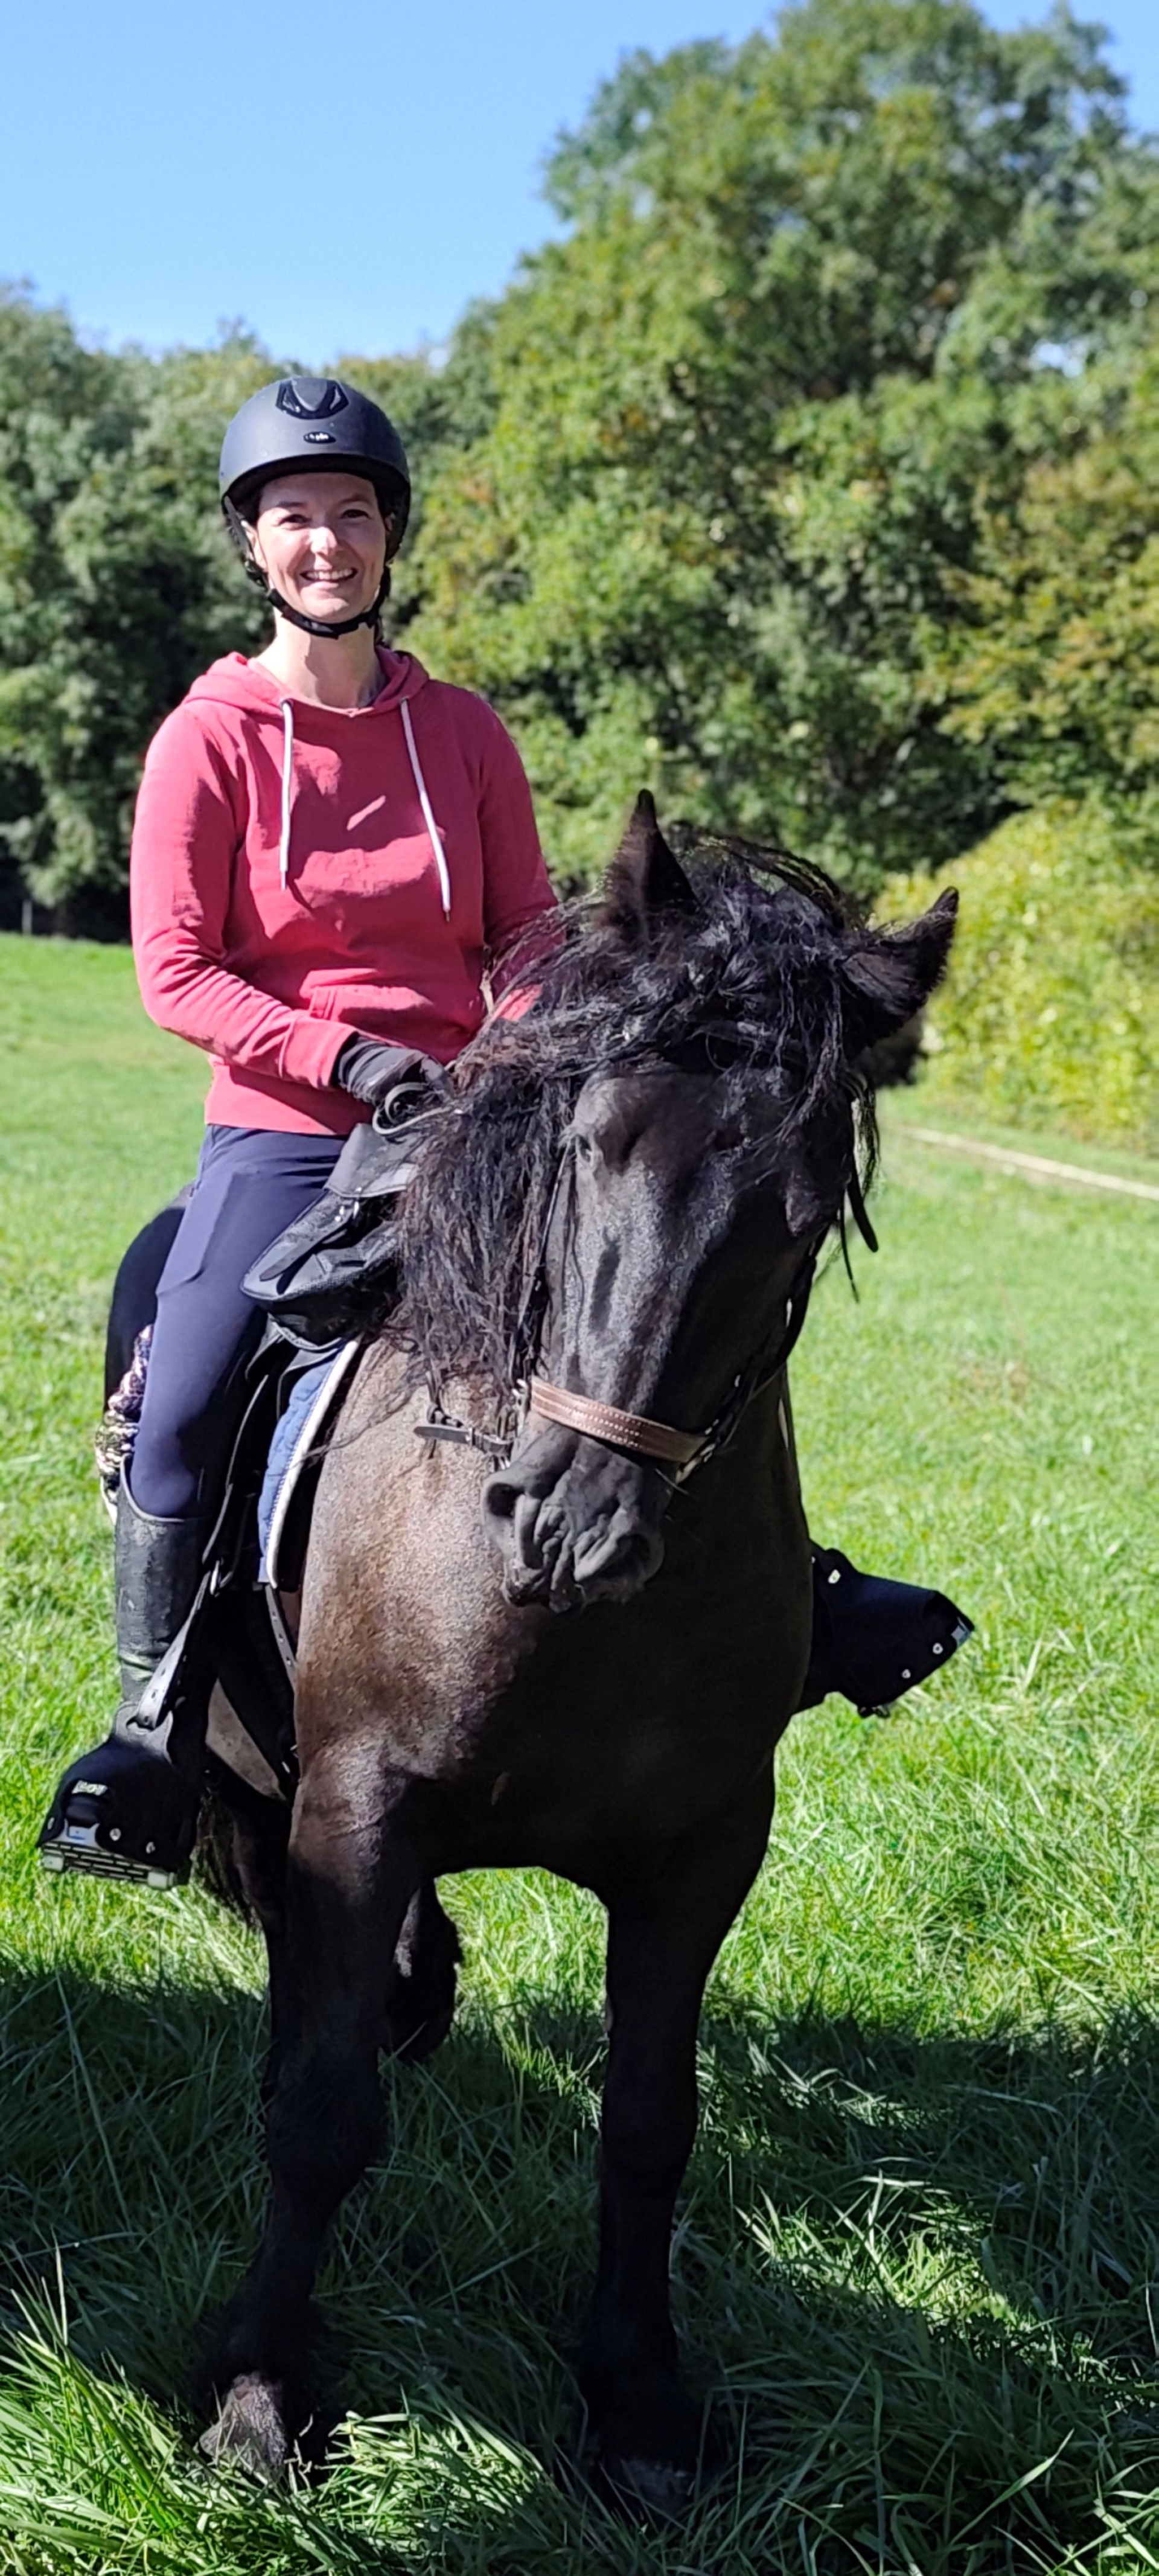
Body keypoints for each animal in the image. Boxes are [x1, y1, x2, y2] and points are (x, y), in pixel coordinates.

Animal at [134, 797, 957, 2508]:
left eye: (800, 1215)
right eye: (586, 1149)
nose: (572, 1521)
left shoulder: (702, 1850)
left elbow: (648, 2123)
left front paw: (637, 2402)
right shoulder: (355, 1806)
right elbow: (322, 2113)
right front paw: (257, 2399)